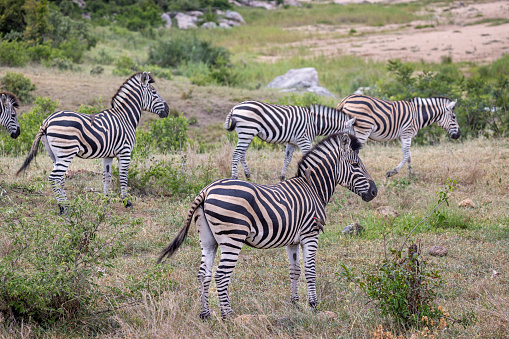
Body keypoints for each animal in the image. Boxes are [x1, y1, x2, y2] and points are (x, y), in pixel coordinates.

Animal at [16, 72, 169, 215]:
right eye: (154, 92)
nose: (167, 110)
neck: (125, 117)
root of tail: (47, 120)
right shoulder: (125, 152)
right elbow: (123, 177)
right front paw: (126, 202)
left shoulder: (108, 155)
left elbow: (106, 177)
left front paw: (106, 201)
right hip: (66, 152)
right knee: (55, 178)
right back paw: (63, 208)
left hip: (54, 154)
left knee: (60, 179)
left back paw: (66, 205)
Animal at [159, 132, 378, 318]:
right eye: (356, 165)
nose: (374, 192)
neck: (312, 187)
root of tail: (205, 191)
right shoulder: (310, 234)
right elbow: (310, 270)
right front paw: (314, 305)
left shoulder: (293, 240)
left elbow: (295, 270)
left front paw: (295, 303)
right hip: (232, 238)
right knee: (220, 276)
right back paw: (228, 316)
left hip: (208, 240)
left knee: (203, 275)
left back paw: (205, 315)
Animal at [224, 99, 356, 181]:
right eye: (351, 136)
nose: (356, 150)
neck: (314, 123)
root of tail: (235, 108)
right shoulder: (304, 140)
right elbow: (309, 158)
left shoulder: (291, 142)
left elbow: (287, 160)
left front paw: (282, 177)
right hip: (247, 131)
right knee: (236, 154)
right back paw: (234, 178)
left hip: (247, 134)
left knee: (242, 154)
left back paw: (248, 176)